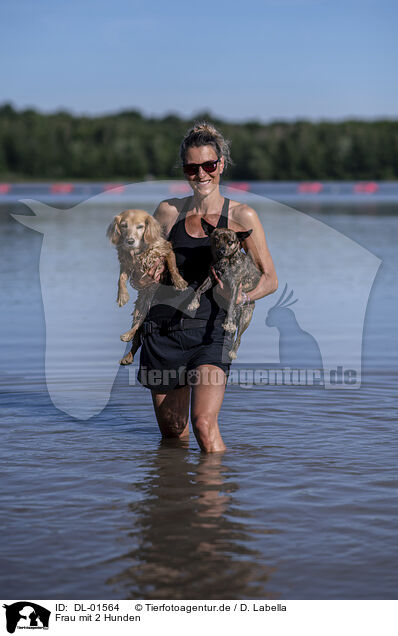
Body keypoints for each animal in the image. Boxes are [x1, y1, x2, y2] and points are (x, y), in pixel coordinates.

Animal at [105, 210, 187, 362]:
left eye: (140, 226)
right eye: (124, 226)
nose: (130, 241)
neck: (139, 250)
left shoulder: (166, 250)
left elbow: (172, 266)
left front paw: (179, 281)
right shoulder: (127, 264)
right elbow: (121, 279)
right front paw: (122, 296)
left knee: (138, 328)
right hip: (140, 308)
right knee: (137, 332)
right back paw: (128, 348)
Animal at [187, 217, 262, 358]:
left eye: (230, 242)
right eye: (216, 239)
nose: (221, 251)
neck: (224, 262)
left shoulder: (234, 287)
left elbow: (232, 302)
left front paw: (228, 324)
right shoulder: (211, 278)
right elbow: (199, 289)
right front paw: (193, 303)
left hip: (245, 317)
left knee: (239, 337)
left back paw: (232, 351)